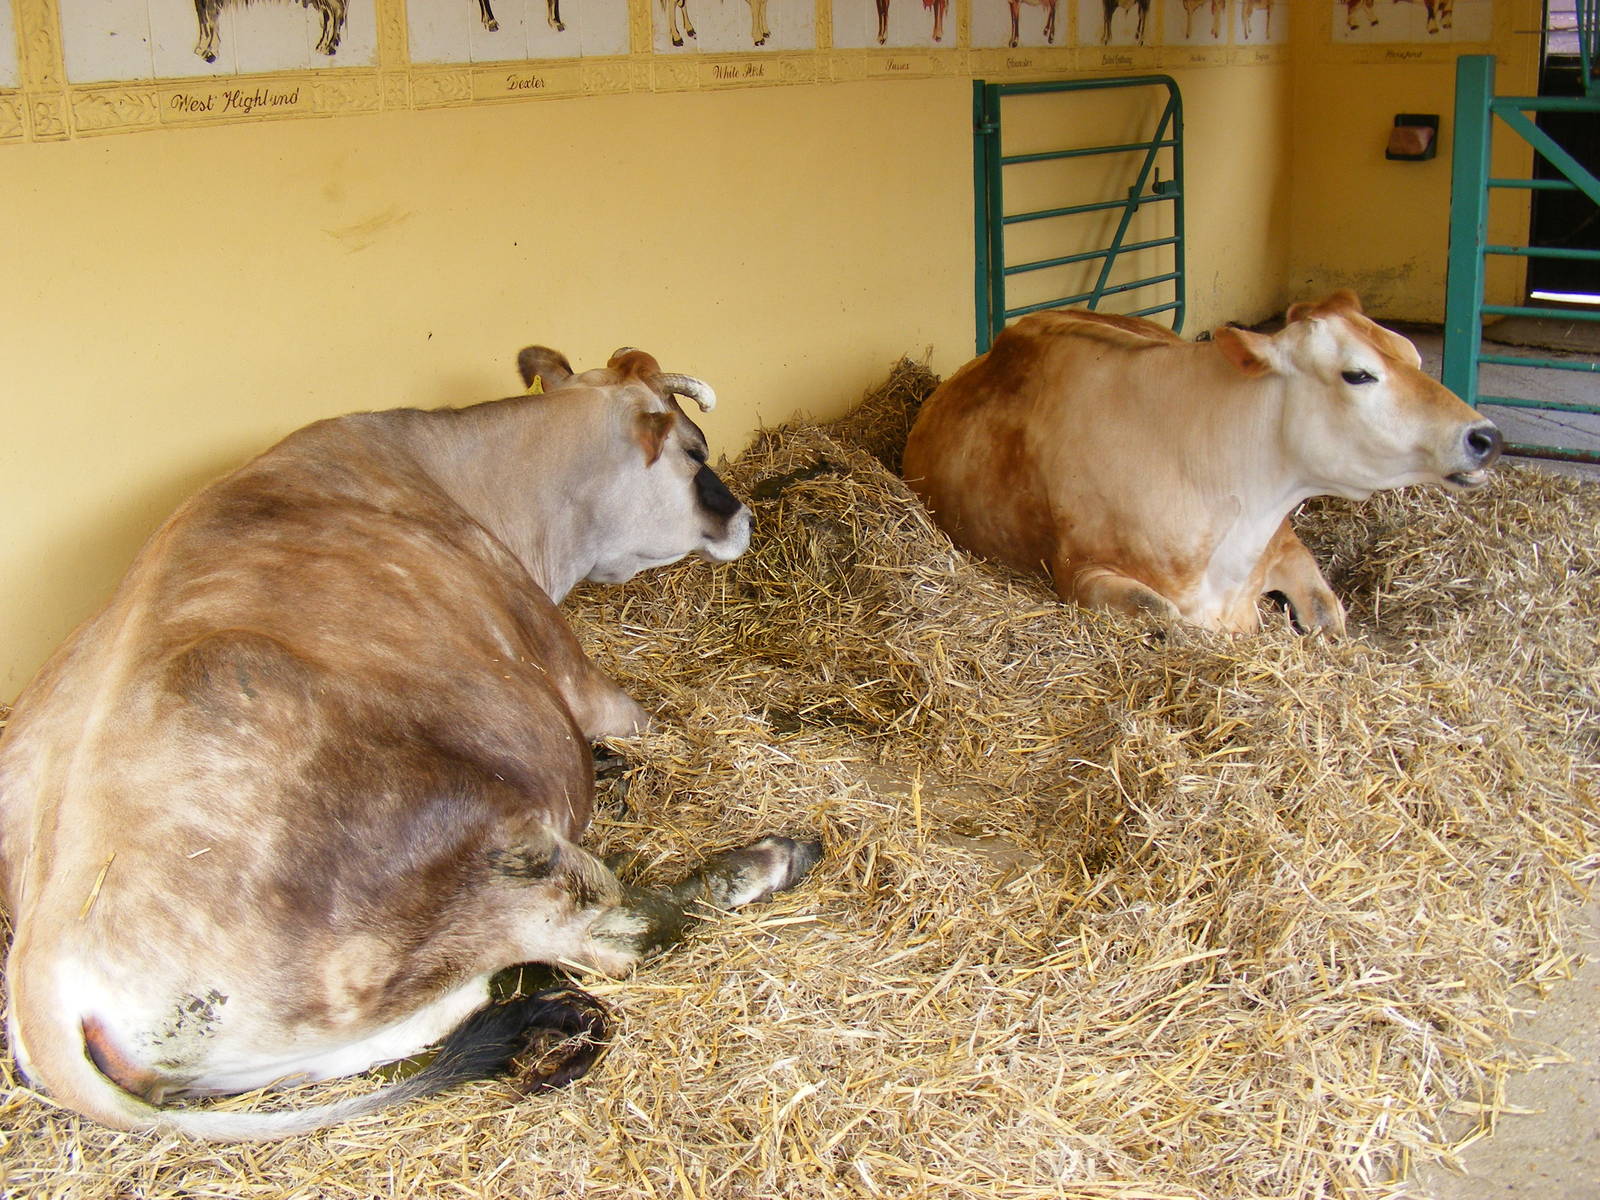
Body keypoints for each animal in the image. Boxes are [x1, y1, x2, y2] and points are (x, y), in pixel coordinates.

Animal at [0, 346, 821, 1140]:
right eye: (694, 450)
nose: (743, 516)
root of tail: (43, 984)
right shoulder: (575, 675)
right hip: (496, 849)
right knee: (615, 934)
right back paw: (771, 860)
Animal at [194, 0, 347, 63]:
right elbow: (209, 20)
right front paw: (208, 50)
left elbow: (205, 20)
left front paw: (204, 50)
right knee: (333, 13)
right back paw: (327, 45)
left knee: (336, 11)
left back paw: (326, 46)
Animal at [901, 293, 1503, 635]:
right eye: (1358, 374)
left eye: (1414, 355)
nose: (1486, 437)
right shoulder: (1081, 571)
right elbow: (1170, 622)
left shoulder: (1281, 540)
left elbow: (1328, 614)